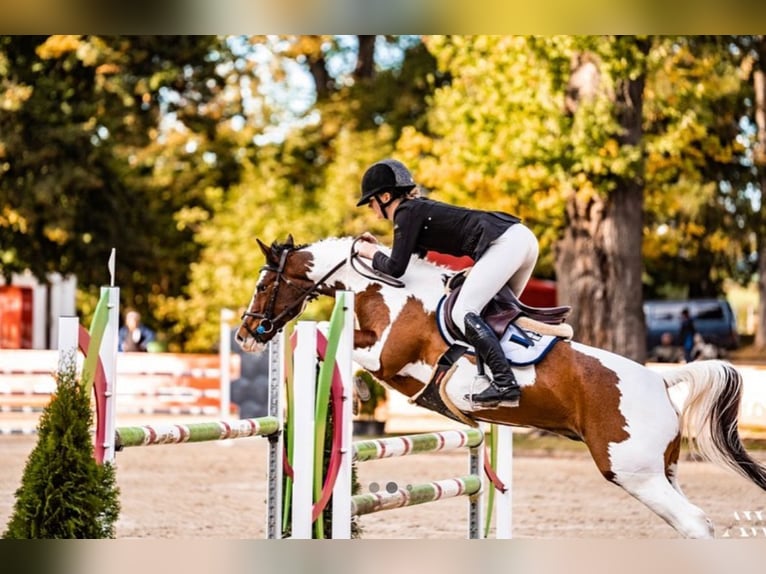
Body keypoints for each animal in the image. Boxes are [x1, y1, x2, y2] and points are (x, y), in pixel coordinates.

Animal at [236, 235, 766, 540]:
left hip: (633, 472)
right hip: (661, 471)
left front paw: (360, 394)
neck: (392, 290)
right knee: (690, 521)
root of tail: (659, 378)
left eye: (263, 284)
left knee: (695, 523)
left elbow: (352, 351)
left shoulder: (390, 356)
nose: (245, 334)